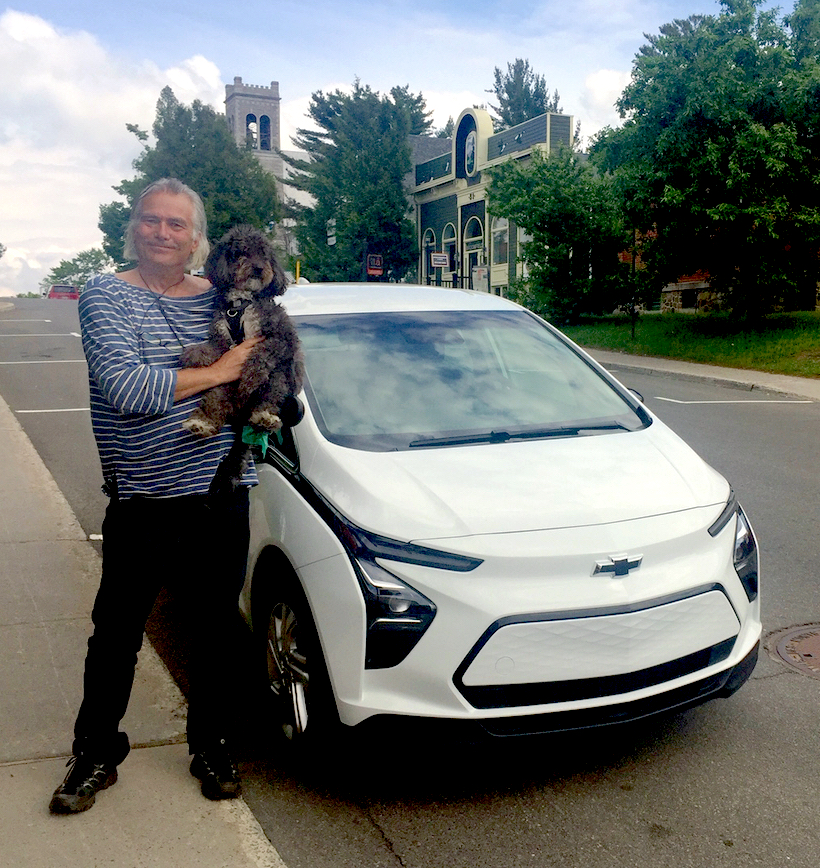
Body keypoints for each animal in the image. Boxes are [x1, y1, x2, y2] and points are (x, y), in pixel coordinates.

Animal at [179, 225, 304, 491]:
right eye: (241, 253)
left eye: (264, 254)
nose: (258, 268)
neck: (241, 303)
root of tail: (242, 413)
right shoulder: (222, 334)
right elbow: (214, 349)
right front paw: (196, 354)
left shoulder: (280, 338)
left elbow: (261, 354)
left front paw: (250, 375)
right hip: (222, 387)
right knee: (215, 403)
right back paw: (202, 423)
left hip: (277, 380)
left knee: (270, 396)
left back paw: (264, 417)